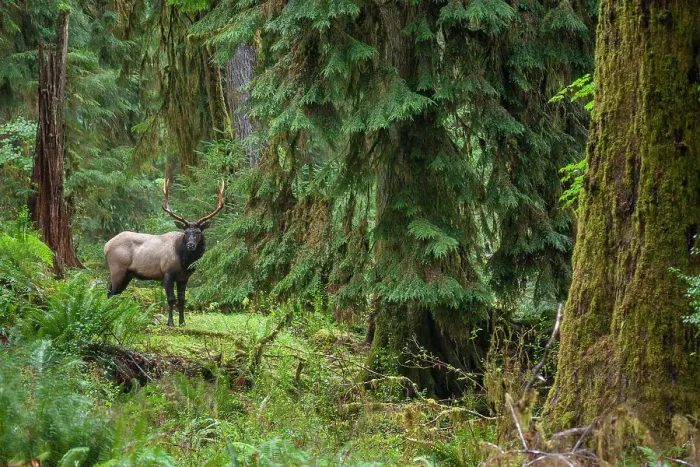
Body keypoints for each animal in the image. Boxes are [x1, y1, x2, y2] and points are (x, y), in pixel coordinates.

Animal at [104, 179, 224, 326]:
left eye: (198, 232)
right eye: (185, 232)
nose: (190, 245)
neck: (184, 262)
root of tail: (106, 246)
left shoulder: (184, 278)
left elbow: (182, 300)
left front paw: (182, 323)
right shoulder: (167, 273)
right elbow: (171, 299)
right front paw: (170, 323)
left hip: (128, 274)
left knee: (115, 293)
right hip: (117, 269)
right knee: (111, 293)